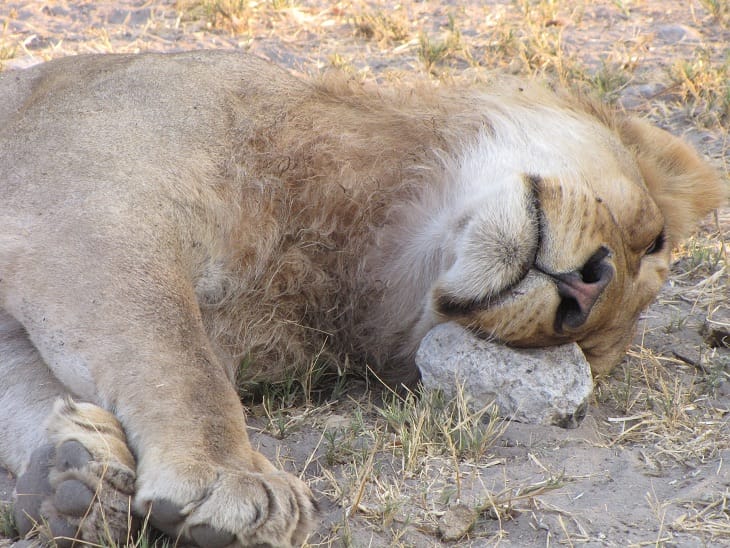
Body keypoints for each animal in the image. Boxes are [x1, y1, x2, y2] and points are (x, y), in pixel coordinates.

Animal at [0, 50, 725, 547]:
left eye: (576, 344)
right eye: (650, 238)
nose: (585, 290)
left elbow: (32, 387)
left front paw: (75, 476)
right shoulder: (92, 203)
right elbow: (178, 360)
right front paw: (231, 477)